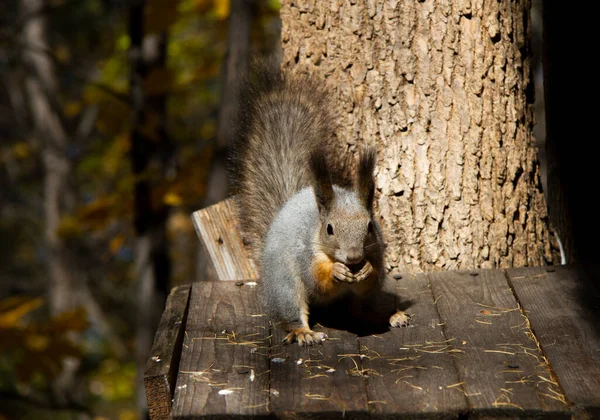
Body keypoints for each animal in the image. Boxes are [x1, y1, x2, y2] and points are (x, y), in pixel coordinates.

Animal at [230, 61, 408, 344]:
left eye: (370, 226)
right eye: (329, 229)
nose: (353, 258)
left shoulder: (377, 250)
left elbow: (374, 274)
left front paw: (367, 270)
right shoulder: (306, 254)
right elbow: (318, 281)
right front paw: (336, 272)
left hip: (366, 299)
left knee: (364, 308)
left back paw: (392, 315)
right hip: (284, 285)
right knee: (291, 309)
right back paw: (303, 332)